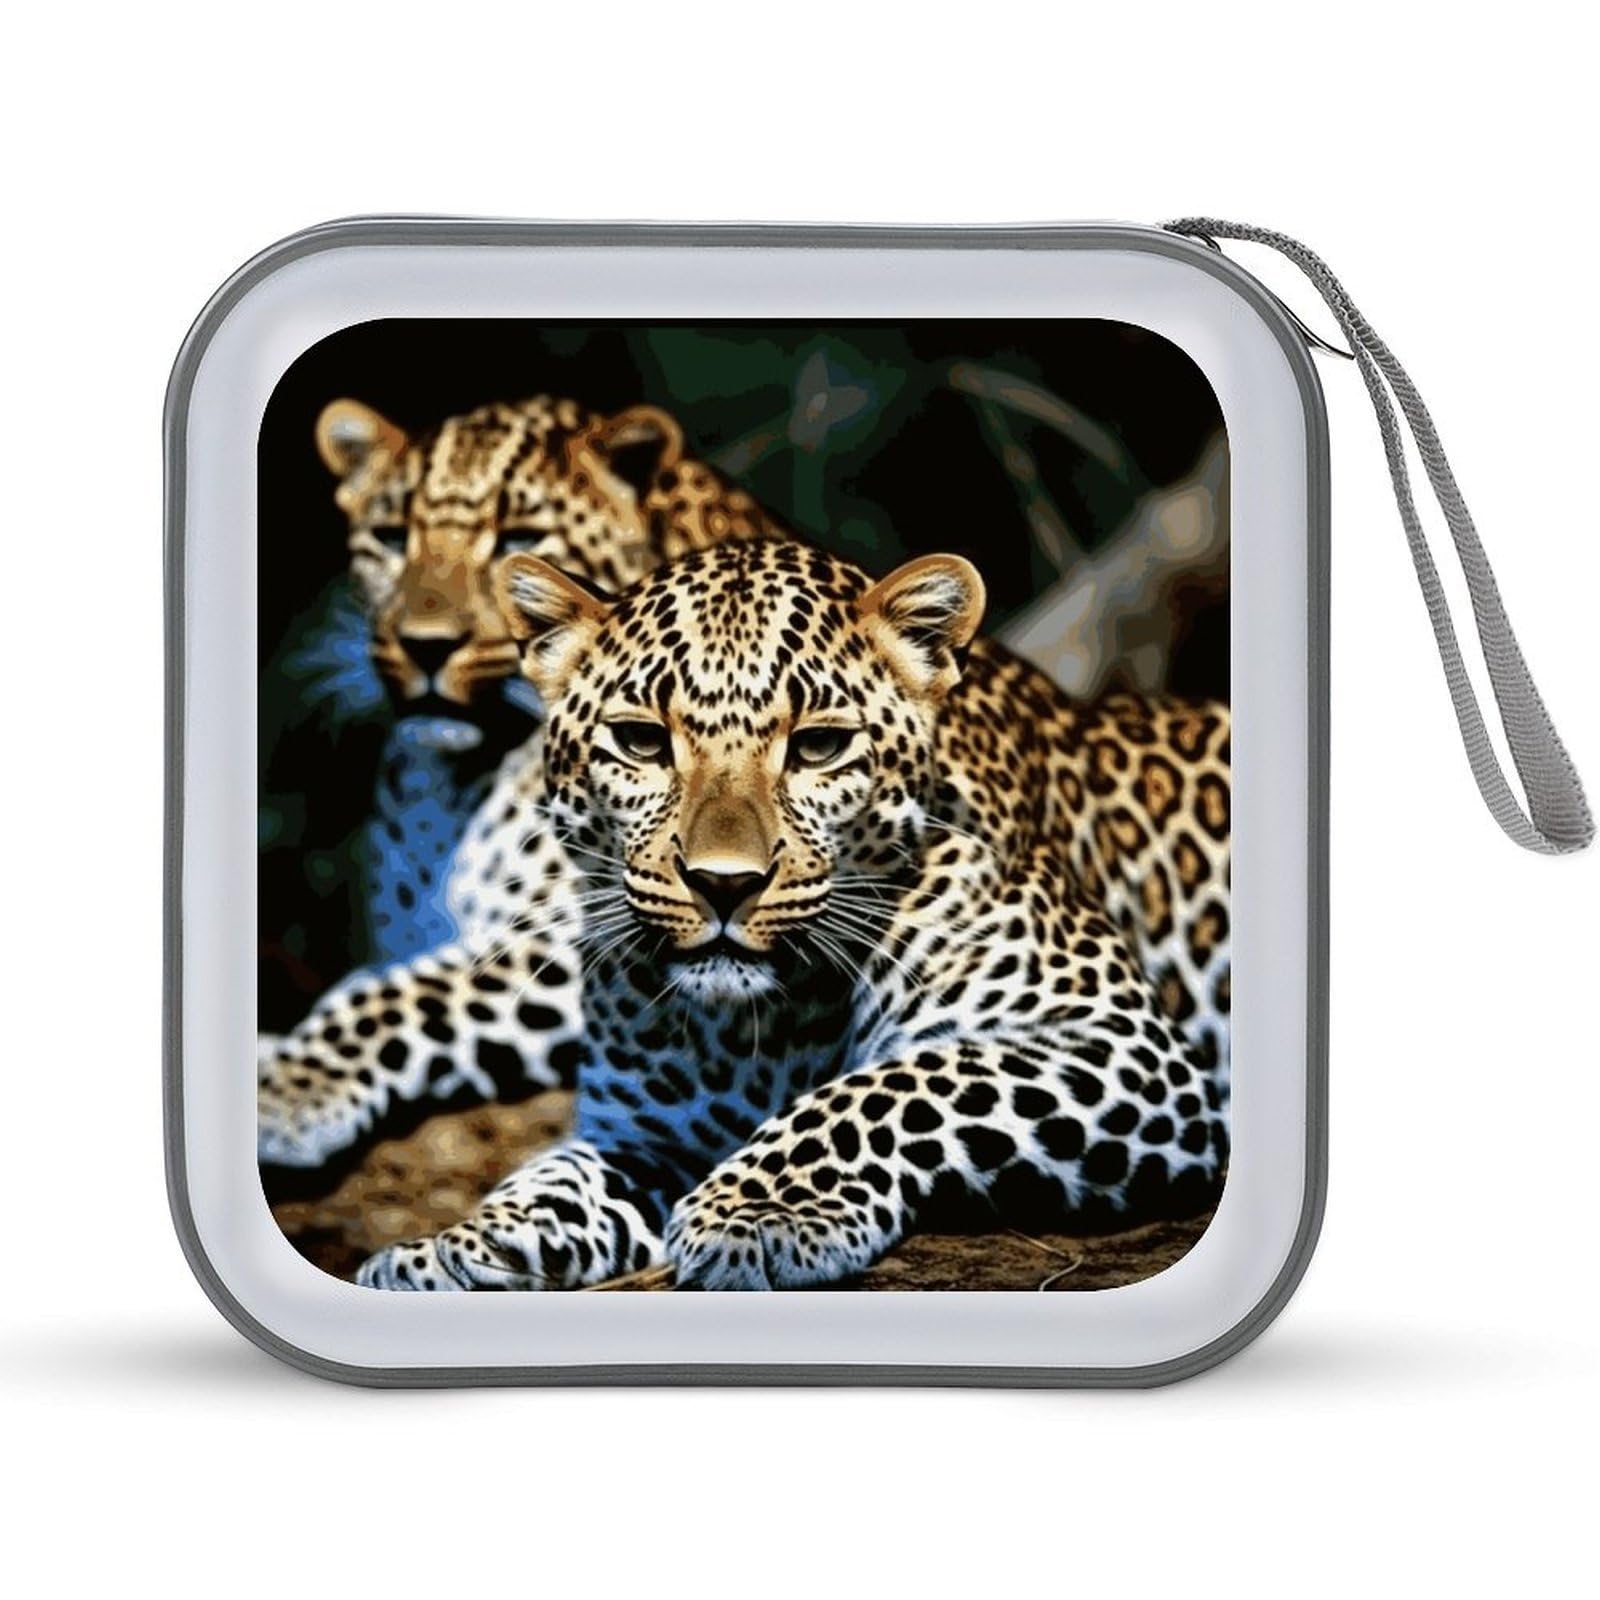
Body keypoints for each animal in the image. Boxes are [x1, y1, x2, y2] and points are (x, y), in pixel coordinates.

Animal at [258, 396, 777, 1164]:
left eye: (520, 538)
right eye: (390, 537)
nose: (426, 646)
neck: (447, 792)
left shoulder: (588, 936)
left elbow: (401, 994)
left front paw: (291, 1088)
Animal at [341, 535, 1232, 1290]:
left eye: (818, 747)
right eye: (640, 742)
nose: (722, 883)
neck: (758, 1030)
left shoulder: (1129, 1045)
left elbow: (894, 1084)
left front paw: (755, 1211)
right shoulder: (643, 1134)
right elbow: (554, 1178)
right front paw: (447, 1249)